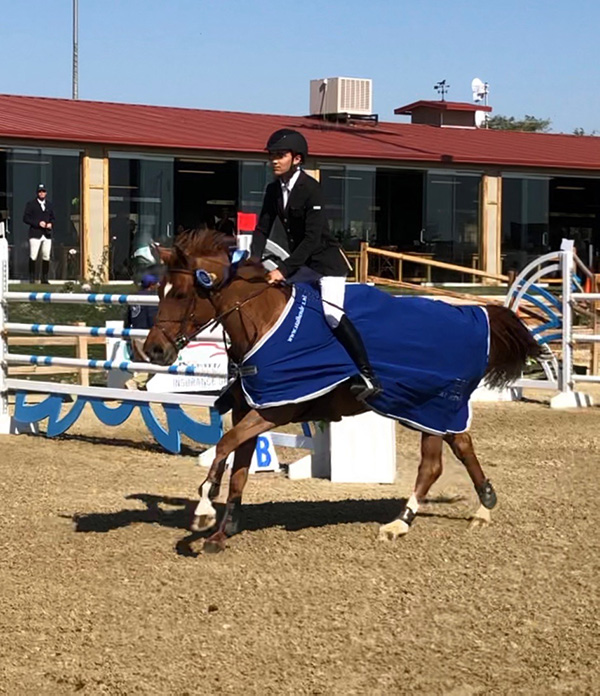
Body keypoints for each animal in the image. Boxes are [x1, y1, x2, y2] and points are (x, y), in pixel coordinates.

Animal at [143, 230, 540, 556]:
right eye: (159, 291)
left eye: (182, 294)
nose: (154, 351)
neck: (261, 321)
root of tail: (473, 315)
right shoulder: (250, 408)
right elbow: (237, 466)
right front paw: (221, 533)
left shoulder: (274, 409)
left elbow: (224, 447)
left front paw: (203, 511)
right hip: (428, 407)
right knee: (461, 445)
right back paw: (484, 506)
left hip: (430, 405)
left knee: (432, 465)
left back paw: (400, 523)